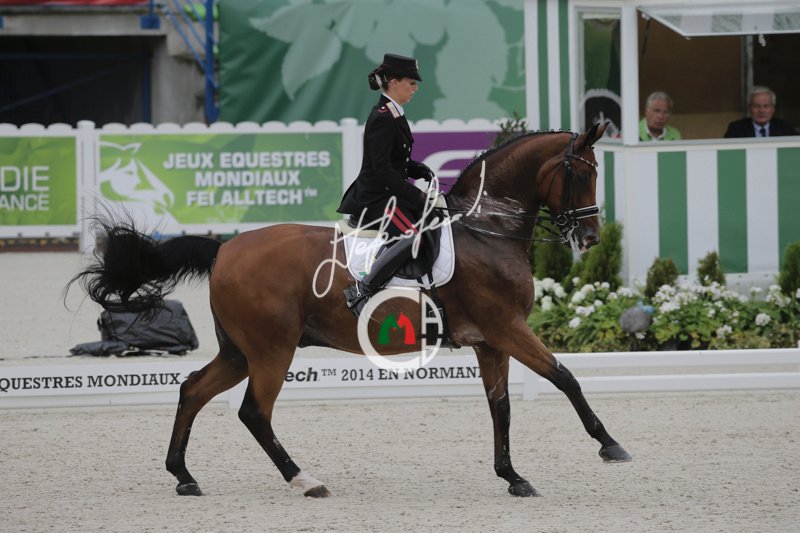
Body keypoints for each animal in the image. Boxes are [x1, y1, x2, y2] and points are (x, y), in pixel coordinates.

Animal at [69, 121, 630, 499]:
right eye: (581, 173)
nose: (590, 237)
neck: (487, 232)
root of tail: (224, 249)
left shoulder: (490, 341)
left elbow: (502, 407)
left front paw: (512, 476)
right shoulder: (508, 329)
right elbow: (564, 378)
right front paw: (609, 445)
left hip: (239, 351)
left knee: (193, 390)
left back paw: (184, 476)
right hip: (271, 350)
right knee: (254, 411)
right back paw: (304, 480)